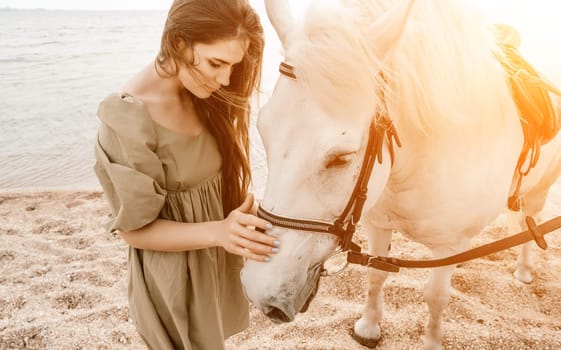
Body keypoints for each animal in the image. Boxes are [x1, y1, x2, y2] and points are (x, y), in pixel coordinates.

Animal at [240, 1, 560, 348]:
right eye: (263, 131)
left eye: (341, 158)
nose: (259, 292)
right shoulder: (378, 223)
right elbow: (376, 275)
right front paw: (368, 327)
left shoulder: (447, 244)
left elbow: (436, 296)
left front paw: (432, 341)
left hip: (538, 193)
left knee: (530, 222)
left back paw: (524, 269)